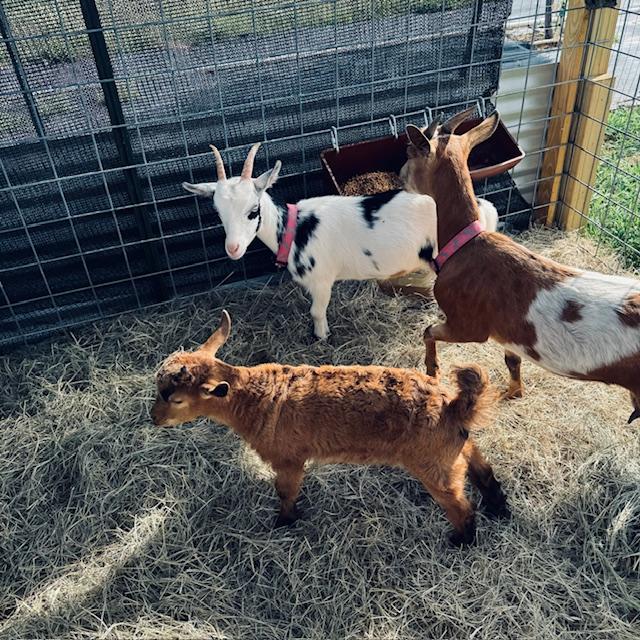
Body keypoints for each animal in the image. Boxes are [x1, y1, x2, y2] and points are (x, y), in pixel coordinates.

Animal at [150, 310, 509, 545]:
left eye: (177, 399)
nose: (153, 418)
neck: (256, 397)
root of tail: (454, 406)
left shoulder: (289, 458)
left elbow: (286, 491)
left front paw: (284, 522)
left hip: (433, 463)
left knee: (459, 504)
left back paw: (461, 540)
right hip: (453, 449)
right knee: (483, 469)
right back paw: (499, 509)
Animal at [182, 143, 498, 340]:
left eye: (253, 210)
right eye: (218, 212)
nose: (233, 248)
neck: (293, 229)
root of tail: (482, 209)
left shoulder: (321, 280)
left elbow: (316, 311)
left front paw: (322, 337)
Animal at [401, 106, 640, 424]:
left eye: (409, 151)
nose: (399, 176)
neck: (467, 243)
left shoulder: (468, 324)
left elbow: (428, 330)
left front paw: (432, 369)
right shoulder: (506, 335)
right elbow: (512, 361)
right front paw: (513, 392)